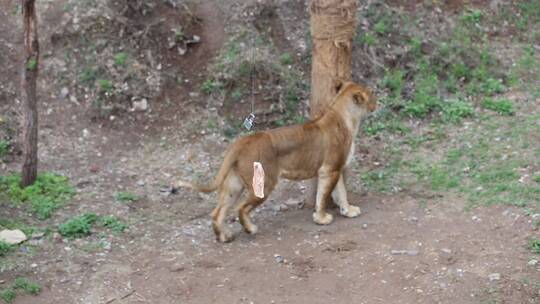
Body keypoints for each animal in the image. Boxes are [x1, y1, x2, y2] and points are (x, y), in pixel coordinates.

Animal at [177, 81, 376, 242]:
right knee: (240, 208)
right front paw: (321, 218)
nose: (378, 102)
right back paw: (250, 229)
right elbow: (323, 195)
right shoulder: (329, 169)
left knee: (217, 212)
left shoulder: (336, 168)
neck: (345, 116)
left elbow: (341, 192)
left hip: (234, 184)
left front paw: (348, 211)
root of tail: (244, 140)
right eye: (371, 95)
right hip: (265, 183)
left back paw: (224, 237)